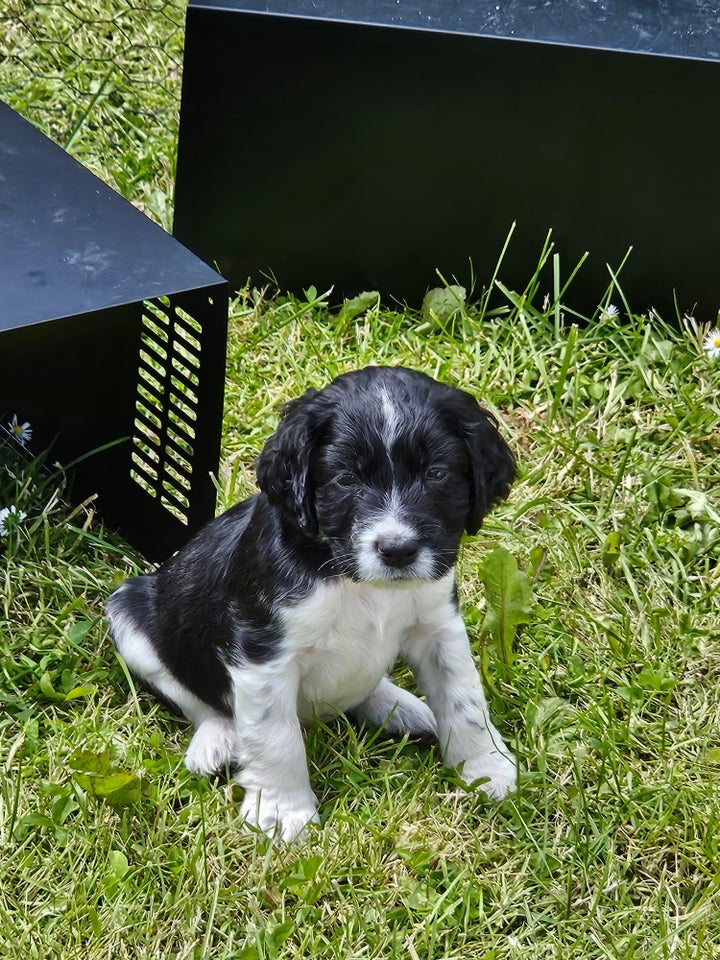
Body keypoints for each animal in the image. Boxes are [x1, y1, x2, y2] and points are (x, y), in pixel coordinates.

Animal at [107, 368, 520, 840]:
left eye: (436, 473)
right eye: (345, 480)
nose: (397, 550)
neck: (351, 576)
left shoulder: (437, 624)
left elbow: (463, 697)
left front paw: (485, 768)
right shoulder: (261, 650)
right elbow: (275, 735)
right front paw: (282, 812)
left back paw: (403, 709)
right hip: (129, 614)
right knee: (197, 697)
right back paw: (217, 739)